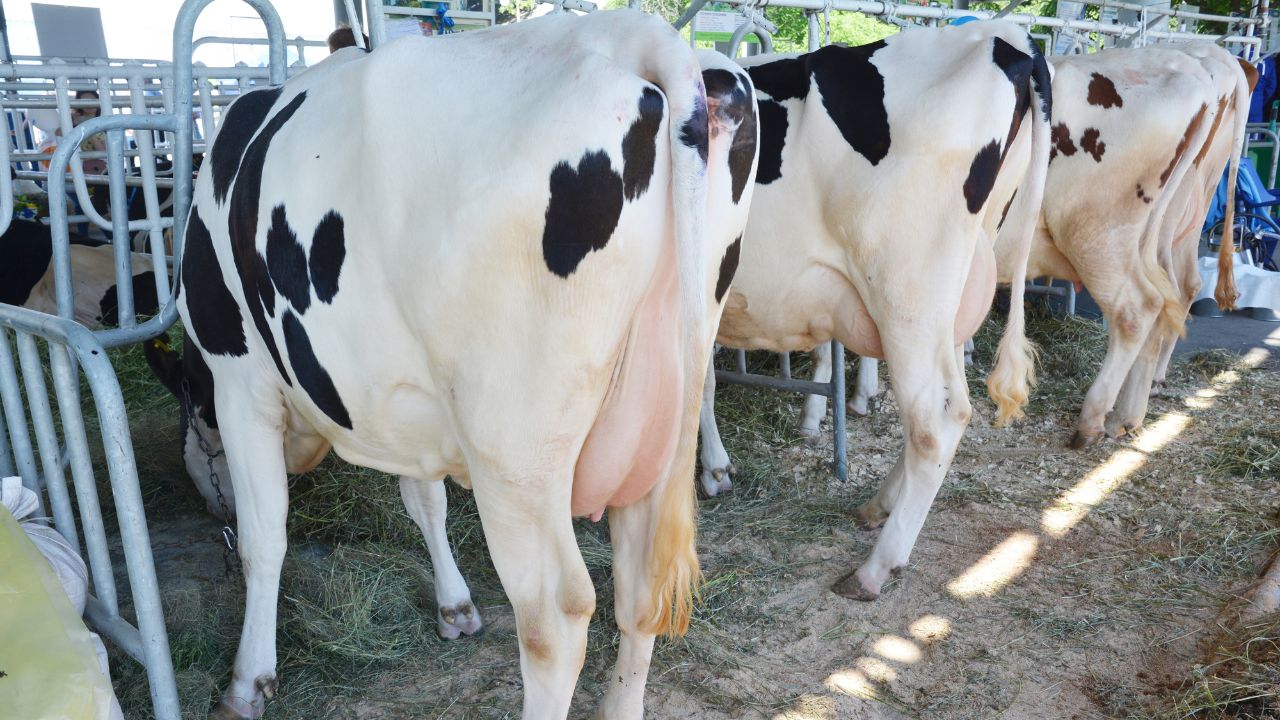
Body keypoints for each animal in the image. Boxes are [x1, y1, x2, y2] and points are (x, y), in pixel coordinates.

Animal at [142, 10, 757, 719]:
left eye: (190, 424)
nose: (206, 503)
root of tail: (638, 33)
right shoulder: (406, 400)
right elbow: (424, 500)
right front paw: (454, 605)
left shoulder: (240, 382)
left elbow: (263, 538)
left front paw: (248, 681)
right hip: (662, 410)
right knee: (639, 591)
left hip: (514, 450)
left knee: (556, 617)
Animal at [696, 21, 1052, 602]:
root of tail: (1003, 36)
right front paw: (714, 469)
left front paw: (709, 472)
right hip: (949, 297)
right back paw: (879, 505)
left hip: (906, 293)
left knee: (936, 418)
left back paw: (876, 567)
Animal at [986, 43, 1253, 448]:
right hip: (1172, 220)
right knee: (1176, 292)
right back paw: (1128, 414)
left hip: (1096, 235)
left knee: (1138, 308)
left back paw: (1093, 420)